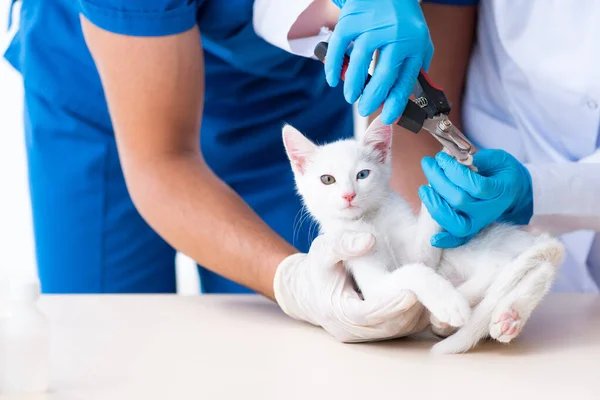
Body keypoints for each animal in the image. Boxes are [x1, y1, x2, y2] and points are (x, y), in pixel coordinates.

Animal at [284, 115, 564, 354]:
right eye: (327, 179)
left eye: (362, 175)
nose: (348, 195)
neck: (372, 219)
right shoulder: (373, 284)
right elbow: (414, 270)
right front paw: (447, 301)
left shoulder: (420, 249)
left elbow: (420, 257)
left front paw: (444, 176)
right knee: (519, 268)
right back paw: (492, 315)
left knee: (508, 267)